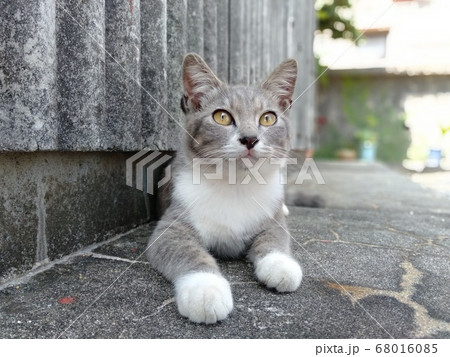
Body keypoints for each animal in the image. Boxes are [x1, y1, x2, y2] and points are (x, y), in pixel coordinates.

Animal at [148, 52, 302, 322]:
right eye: (222, 116)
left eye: (268, 118)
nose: (250, 139)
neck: (235, 183)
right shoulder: (172, 226)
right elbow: (186, 251)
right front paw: (204, 289)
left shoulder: (270, 218)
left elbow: (275, 237)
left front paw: (281, 265)